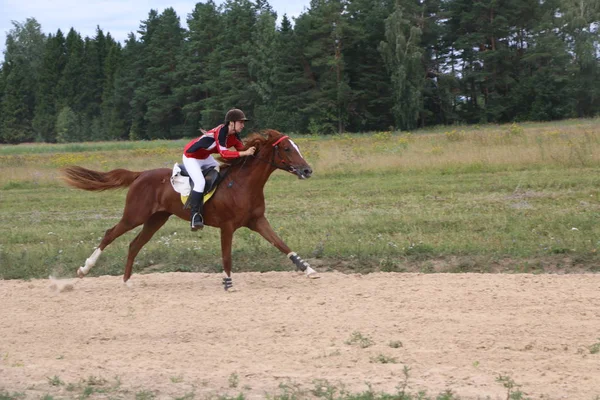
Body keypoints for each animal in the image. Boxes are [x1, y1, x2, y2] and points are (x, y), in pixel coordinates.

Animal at [62, 130, 318, 290]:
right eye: (286, 148)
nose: (307, 170)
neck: (243, 184)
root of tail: (140, 175)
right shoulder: (227, 226)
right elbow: (226, 256)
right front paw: (228, 283)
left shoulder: (257, 221)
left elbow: (281, 244)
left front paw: (308, 269)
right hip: (135, 215)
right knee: (110, 234)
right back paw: (84, 269)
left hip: (156, 219)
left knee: (134, 244)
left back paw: (127, 282)